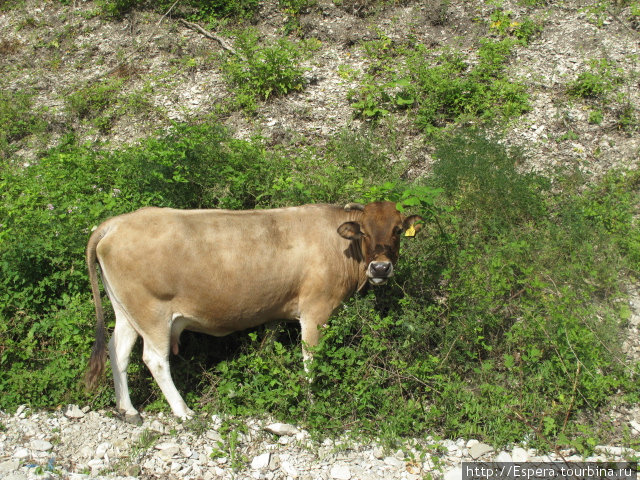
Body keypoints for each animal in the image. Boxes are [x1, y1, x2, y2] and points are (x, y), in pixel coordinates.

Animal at [86, 201, 424, 422]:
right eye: (364, 231)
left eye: (397, 230)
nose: (380, 268)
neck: (337, 245)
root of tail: (116, 222)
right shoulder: (316, 310)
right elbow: (311, 359)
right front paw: (313, 402)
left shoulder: (276, 309)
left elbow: (267, 348)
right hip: (152, 311)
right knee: (154, 359)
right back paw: (184, 412)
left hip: (126, 310)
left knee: (118, 351)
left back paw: (128, 410)